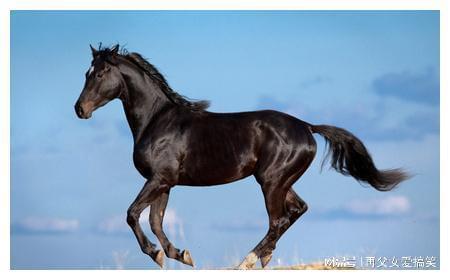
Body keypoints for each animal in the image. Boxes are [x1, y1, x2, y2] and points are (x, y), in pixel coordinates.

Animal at [75, 44, 410, 270]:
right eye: (86, 73)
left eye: (101, 73)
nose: (80, 109)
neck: (157, 121)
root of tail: (307, 127)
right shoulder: (164, 183)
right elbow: (156, 221)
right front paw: (178, 255)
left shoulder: (159, 179)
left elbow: (133, 214)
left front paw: (159, 254)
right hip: (282, 181)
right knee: (297, 210)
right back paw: (261, 257)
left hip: (271, 182)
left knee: (278, 219)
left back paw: (247, 261)